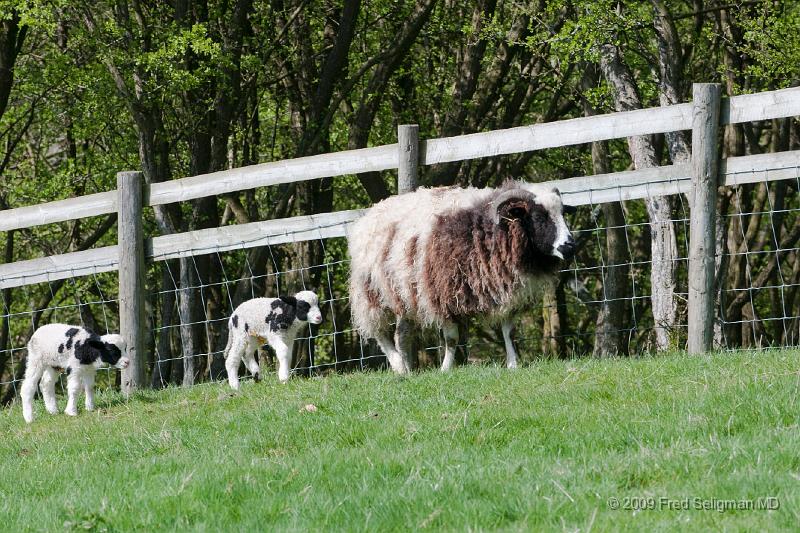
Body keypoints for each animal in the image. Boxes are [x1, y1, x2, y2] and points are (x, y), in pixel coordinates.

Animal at [348, 181, 576, 372]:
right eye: (538, 217)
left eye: (563, 213)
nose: (569, 246)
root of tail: (370, 214)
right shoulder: (443, 295)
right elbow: (451, 338)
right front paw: (445, 369)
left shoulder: (506, 290)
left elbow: (508, 332)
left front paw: (513, 364)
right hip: (370, 293)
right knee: (379, 332)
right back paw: (398, 365)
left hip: (404, 294)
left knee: (401, 334)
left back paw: (407, 369)